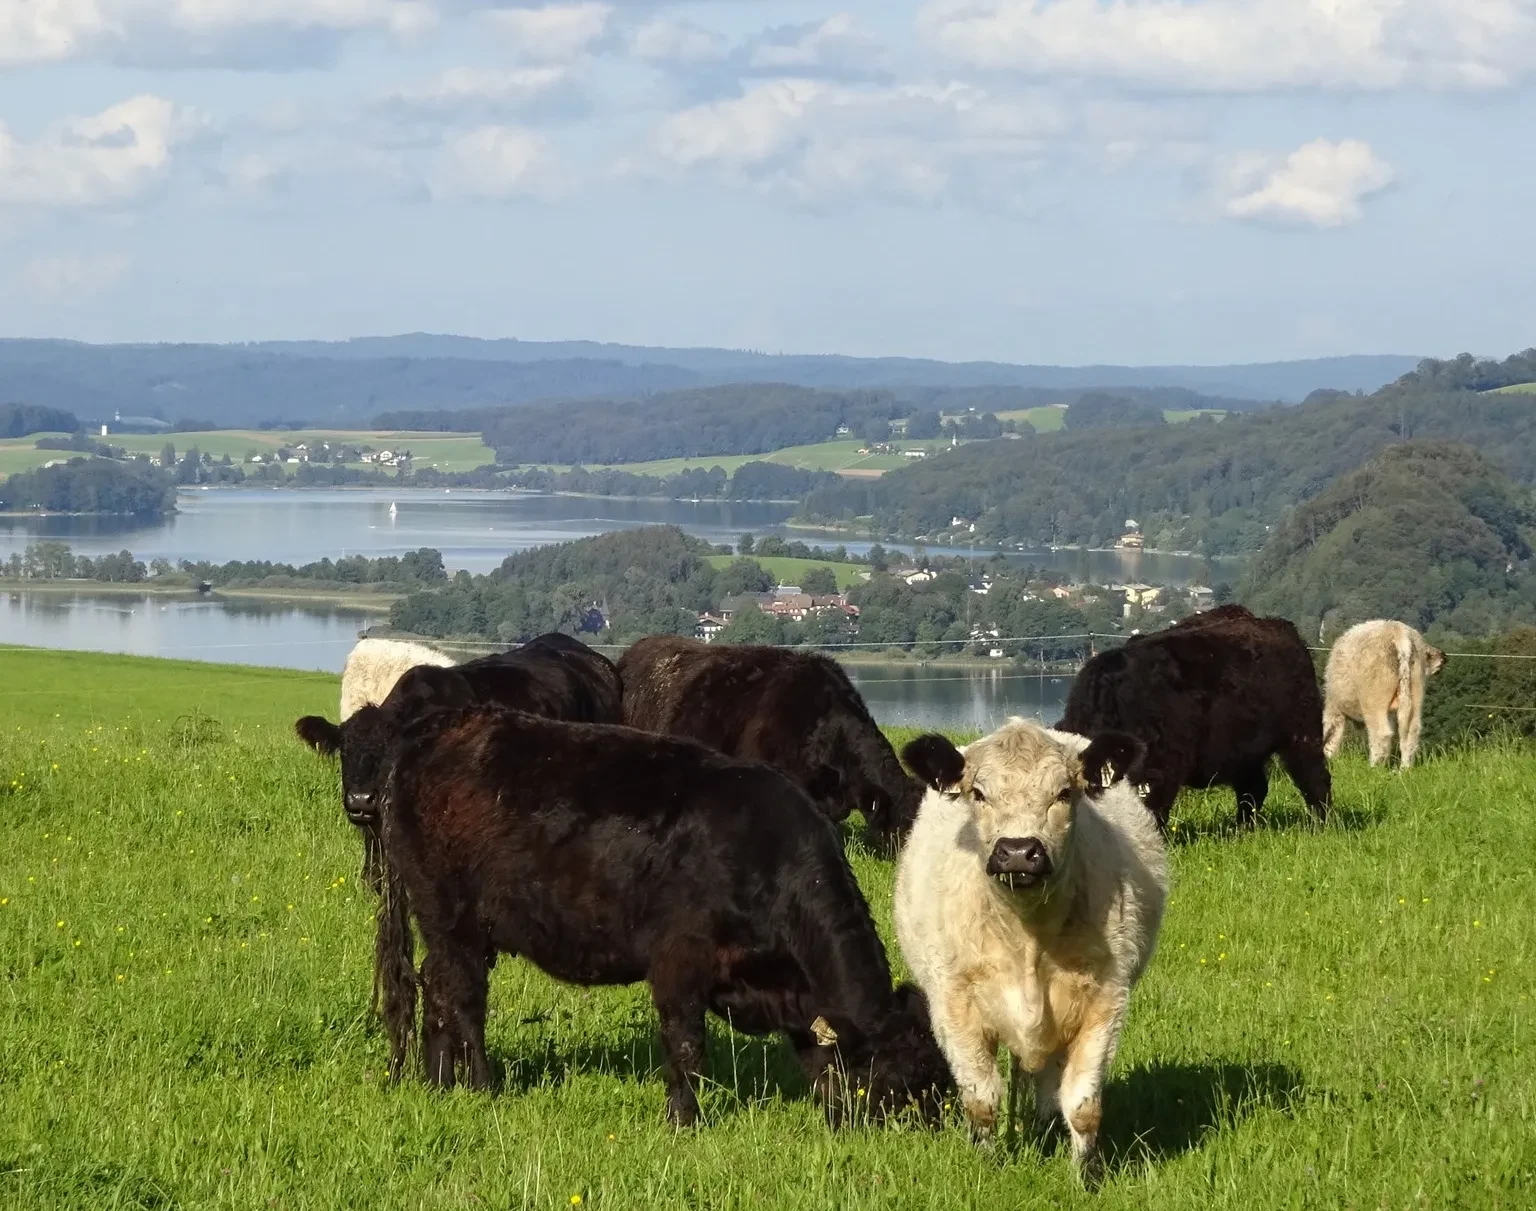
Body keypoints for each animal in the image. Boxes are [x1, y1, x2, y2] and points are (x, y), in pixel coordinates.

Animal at [370, 703, 952, 1131]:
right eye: (904, 1080)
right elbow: (686, 1045)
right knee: (462, 998)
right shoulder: (680, 960)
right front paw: (684, 1120)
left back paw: (439, 1080)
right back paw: (482, 1085)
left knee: (433, 988)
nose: (935, 1132)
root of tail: (436, 730)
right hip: (452, 917)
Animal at [890, 713, 1161, 1186]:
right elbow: (981, 1099)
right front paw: (985, 1164)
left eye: (1065, 793)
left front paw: (1085, 1179)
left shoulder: (1106, 1001)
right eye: (978, 793)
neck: (1026, 938)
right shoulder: (955, 1005)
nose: (1018, 851)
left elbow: (1083, 1104)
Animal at [1056, 611, 1333, 829]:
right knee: (1253, 789)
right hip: (1244, 751)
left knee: (1315, 778)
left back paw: (1322, 824)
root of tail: (1281, 626)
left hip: (1302, 733)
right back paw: (1242, 829)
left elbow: (1155, 808)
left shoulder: (1164, 767)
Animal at [1327, 620, 1443, 771]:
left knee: (1381, 733)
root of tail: (1398, 630)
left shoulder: (1334, 707)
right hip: (1416, 694)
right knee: (1412, 732)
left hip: (1373, 703)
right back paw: (1404, 770)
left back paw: (1374, 769)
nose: (1443, 656)